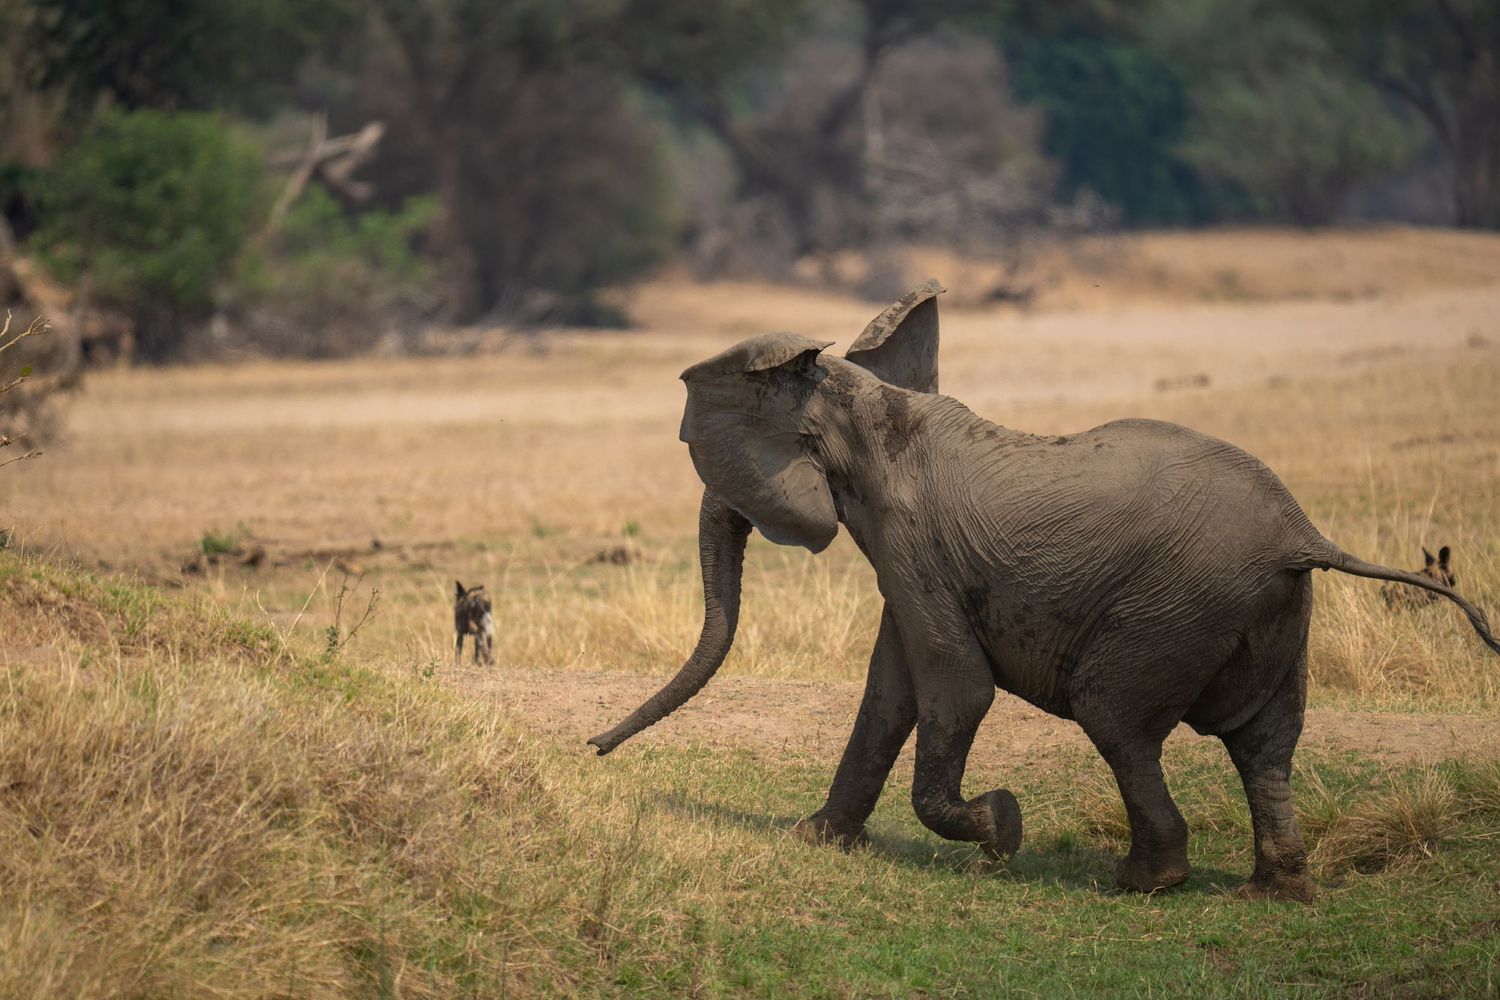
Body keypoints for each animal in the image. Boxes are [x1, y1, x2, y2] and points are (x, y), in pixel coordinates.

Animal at [589, 281, 1499, 901]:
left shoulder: (909, 540)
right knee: (1265, 742)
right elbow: (892, 690)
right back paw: (1270, 892)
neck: (864, 400)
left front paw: (1001, 829)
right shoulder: (908, 559)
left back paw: (1146, 881)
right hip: (1269, 612)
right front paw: (816, 839)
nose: (592, 749)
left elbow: (954, 686)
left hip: (1179, 608)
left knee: (1116, 716)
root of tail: (1300, 533)